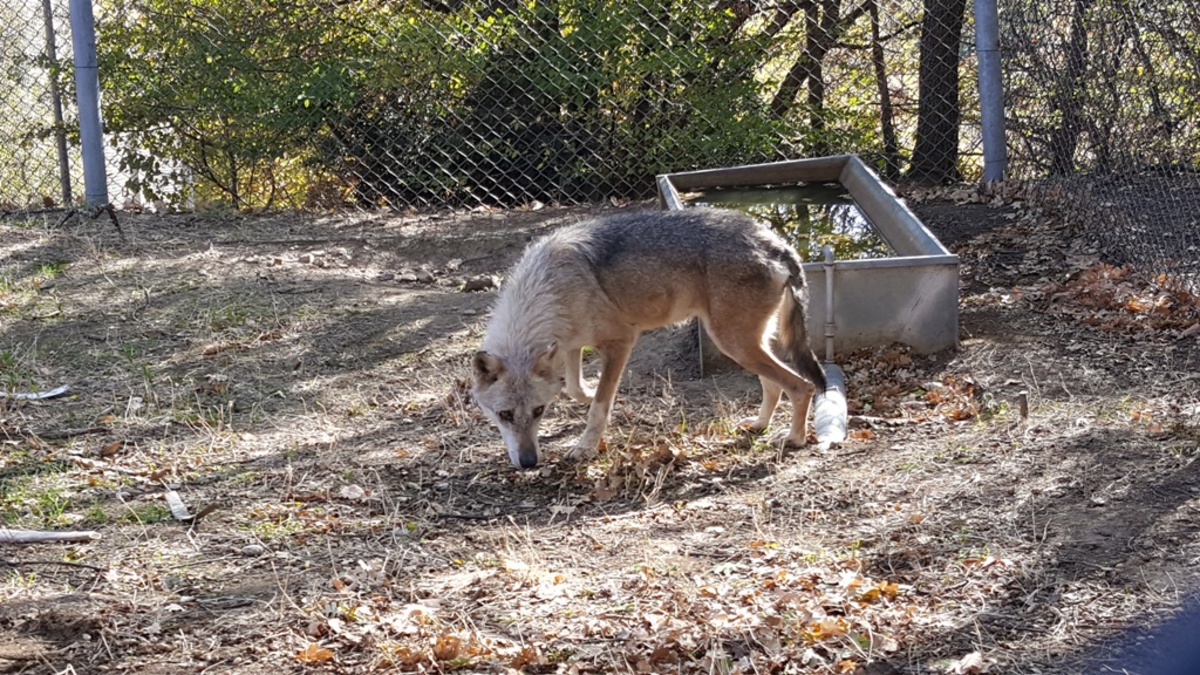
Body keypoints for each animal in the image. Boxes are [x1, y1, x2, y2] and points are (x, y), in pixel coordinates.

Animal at [468, 206, 825, 468]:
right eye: (504, 415)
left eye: (539, 411)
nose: (529, 462)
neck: (547, 288)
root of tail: (777, 242)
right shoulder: (570, 344)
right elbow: (574, 387)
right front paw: (593, 397)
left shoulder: (621, 342)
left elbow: (599, 406)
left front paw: (585, 447)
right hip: (746, 344)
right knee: (773, 384)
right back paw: (759, 425)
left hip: (734, 343)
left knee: (801, 386)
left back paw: (794, 439)